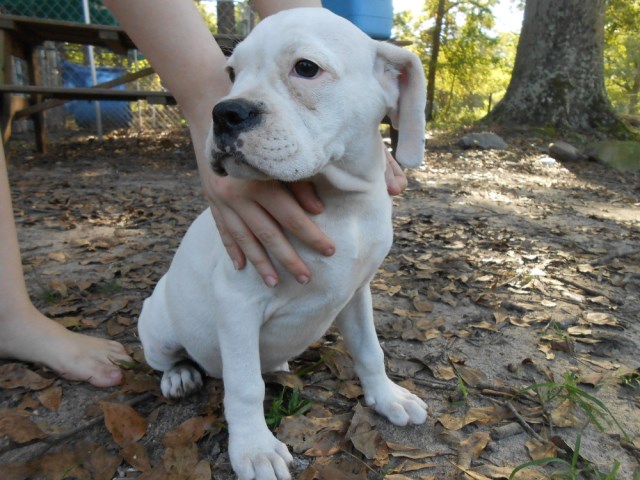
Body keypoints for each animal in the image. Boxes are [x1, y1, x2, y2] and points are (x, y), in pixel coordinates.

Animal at [141, 7, 430, 480]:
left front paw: (388, 397)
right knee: (167, 358)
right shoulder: (237, 302)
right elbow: (244, 386)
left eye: (306, 68)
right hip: (159, 324)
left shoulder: (357, 293)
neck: (339, 204)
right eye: (232, 73)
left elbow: (370, 349)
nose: (225, 112)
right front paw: (255, 449)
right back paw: (179, 375)